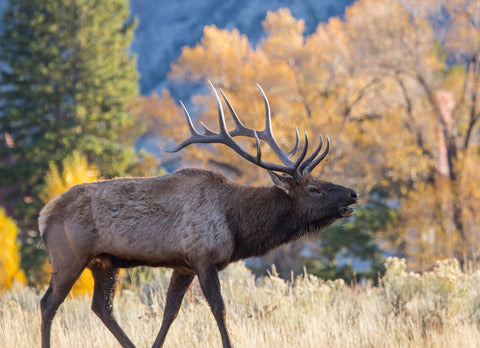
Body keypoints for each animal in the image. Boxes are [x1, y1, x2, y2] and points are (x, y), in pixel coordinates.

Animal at [39, 82, 358, 348]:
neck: (237, 225)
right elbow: (219, 309)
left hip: (104, 262)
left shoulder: (184, 265)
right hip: (69, 256)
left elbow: (170, 311)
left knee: (101, 307)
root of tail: (43, 215)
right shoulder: (204, 257)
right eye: (314, 188)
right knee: (48, 304)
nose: (353, 194)